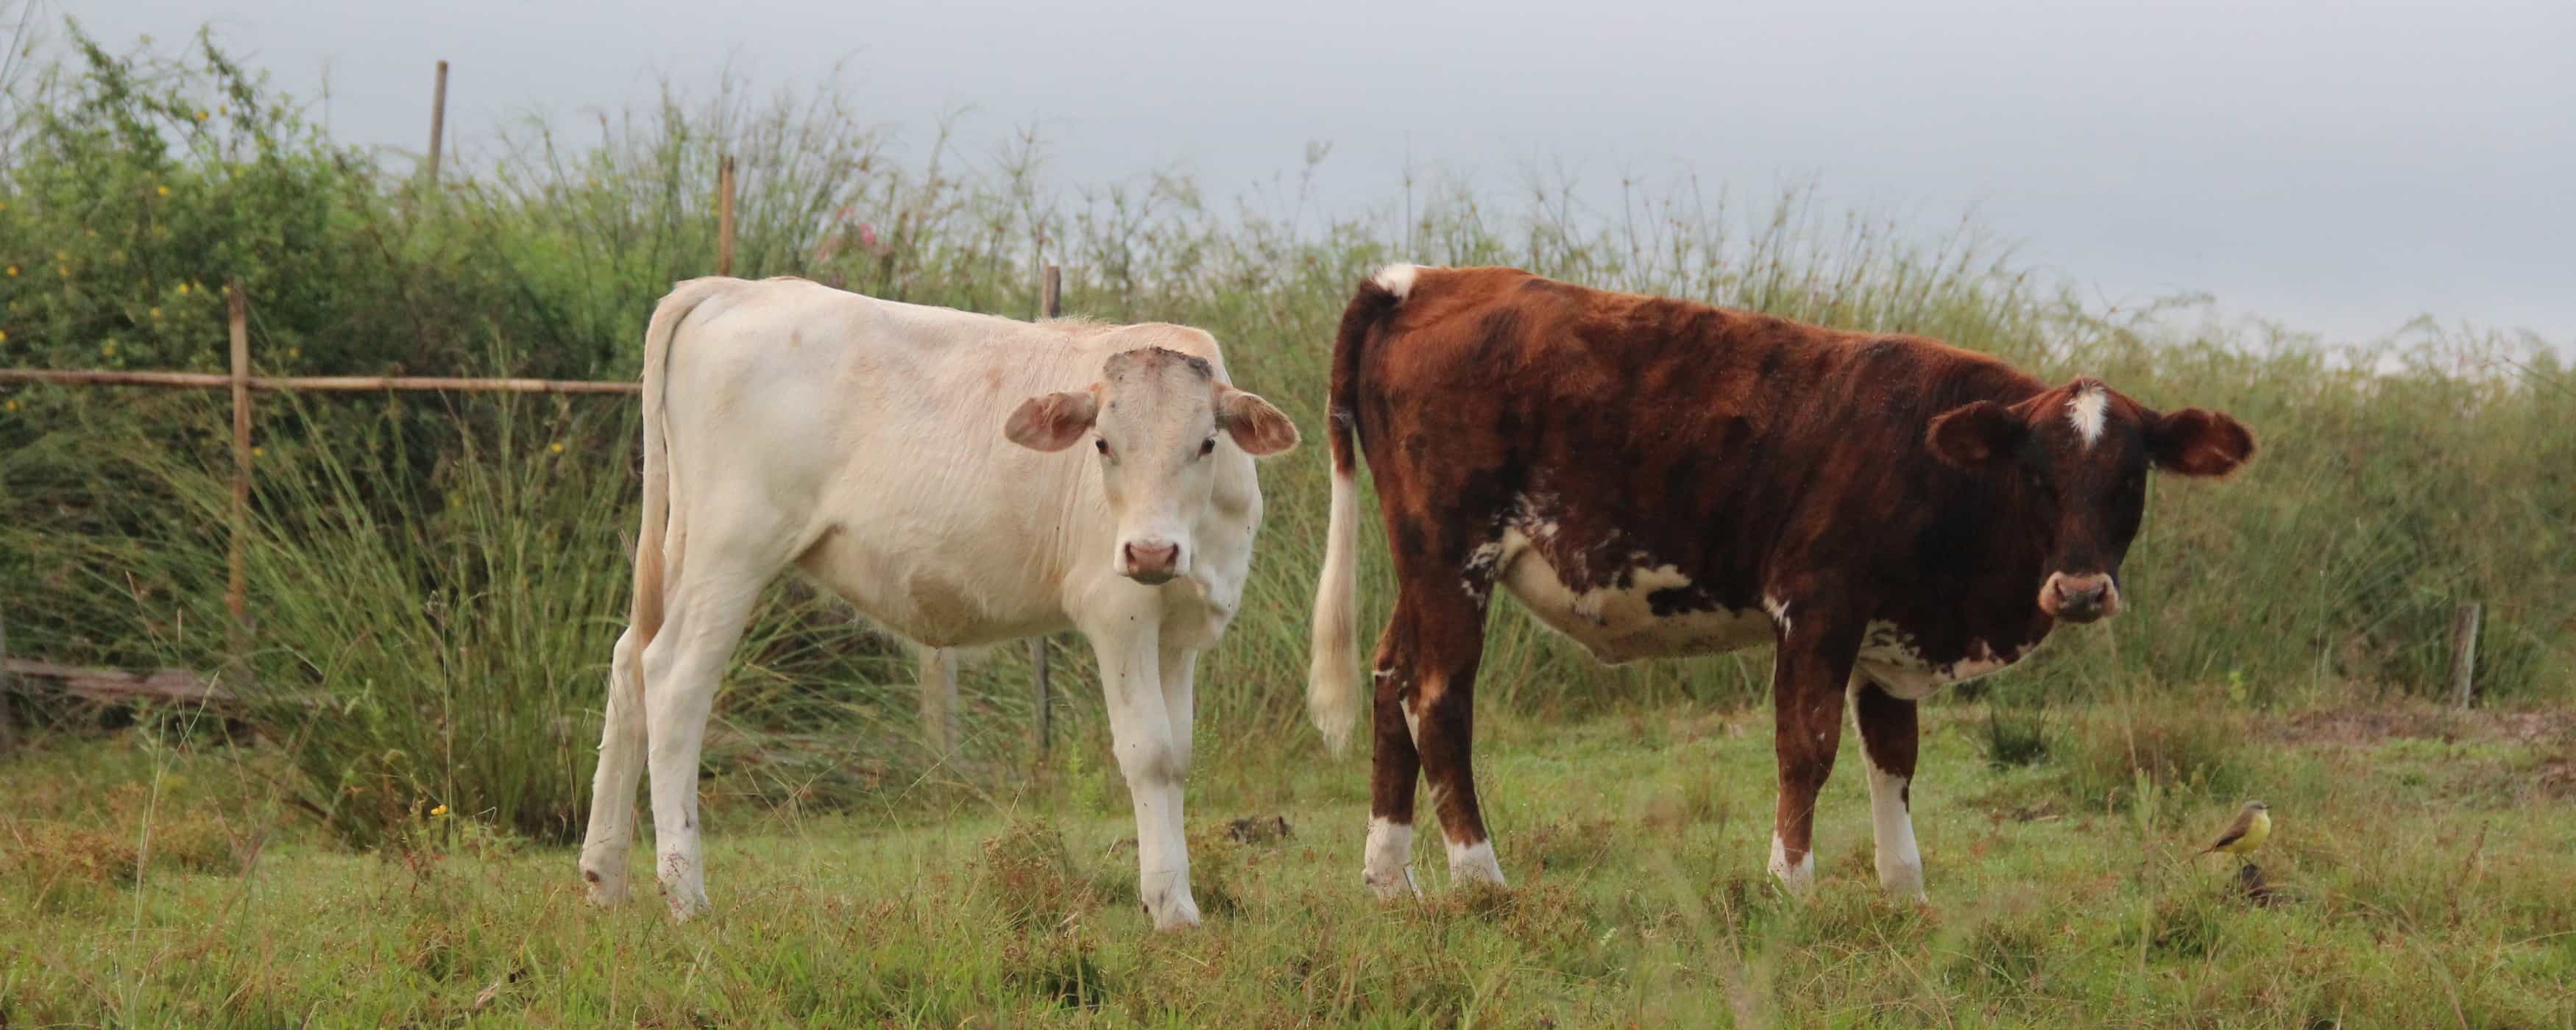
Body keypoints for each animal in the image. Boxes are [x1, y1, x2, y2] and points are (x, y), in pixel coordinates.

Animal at [578, 276, 1299, 930]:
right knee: (674, 682)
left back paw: (604, 877)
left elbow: (1177, 755)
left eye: (1207, 442)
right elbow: (1148, 752)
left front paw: (1178, 898)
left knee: (629, 663)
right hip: (732, 548)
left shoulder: (1181, 627)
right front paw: (1169, 907)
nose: (1151, 552)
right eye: (1102, 444)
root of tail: (737, 287)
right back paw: (685, 895)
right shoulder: (1116, 611)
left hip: (684, 545)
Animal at [1306, 264, 2253, 900]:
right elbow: (1807, 746)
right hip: (1453, 558)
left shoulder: (1889, 631)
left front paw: (1902, 891)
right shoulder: (1816, 604)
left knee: (1390, 679)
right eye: (2035, 473)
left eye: (2130, 477)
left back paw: (1389, 879)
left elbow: (1892, 757)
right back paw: (1481, 879)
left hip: (1425, 569)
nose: (2081, 590)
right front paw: (1789, 885)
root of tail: (1420, 278)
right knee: (1438, 699)